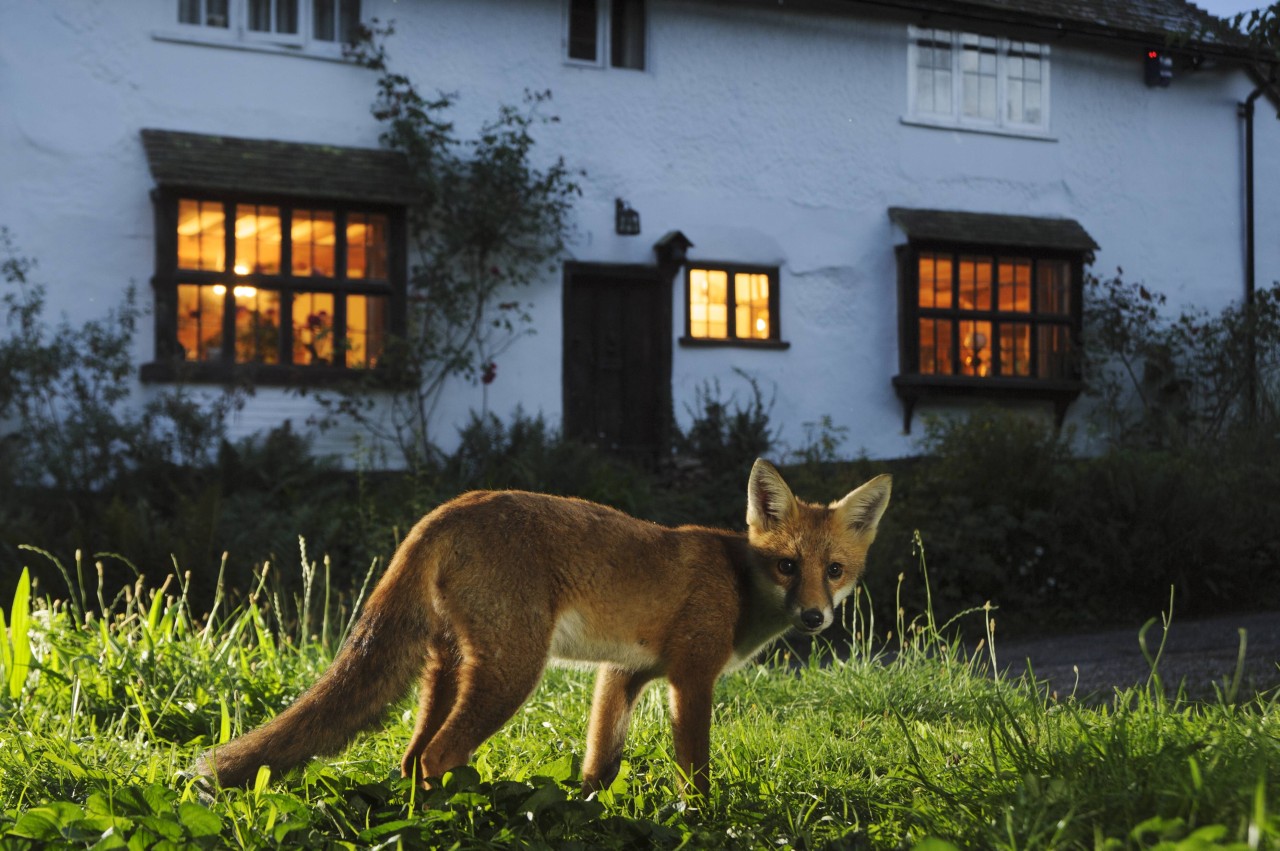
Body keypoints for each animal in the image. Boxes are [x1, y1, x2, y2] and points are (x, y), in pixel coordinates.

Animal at [199, 458, 896, 798]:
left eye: (834, 570)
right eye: (787, 566)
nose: (814, 616)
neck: (737, 578)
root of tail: (450, 507)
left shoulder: (624, 673)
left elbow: (600, 765)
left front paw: (587, 813)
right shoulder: (692, 679)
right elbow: (694, 770)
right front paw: (702, 816)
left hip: (448, 667)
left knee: (412, 756)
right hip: (513, 671)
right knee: (440, 754)